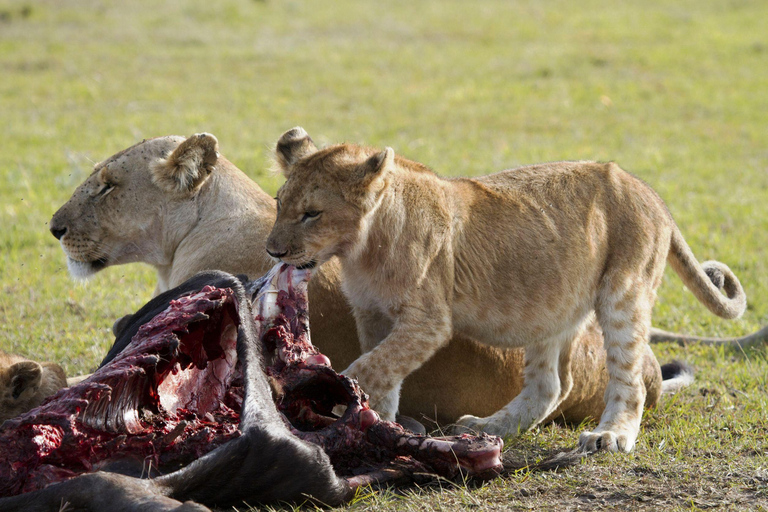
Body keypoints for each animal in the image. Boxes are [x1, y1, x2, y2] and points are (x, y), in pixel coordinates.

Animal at [268, 128, 748, 452]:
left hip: (623, 292)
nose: (273, 250)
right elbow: (385, 373)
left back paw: (611, 435)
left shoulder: (428, 321)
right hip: (552, 305)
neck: (361, 249)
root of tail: (651, 194)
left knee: (630, 381)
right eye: (279, 202)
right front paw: (380, 427)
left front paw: (339, 398)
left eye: (311, 213)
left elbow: (369, 367)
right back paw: (488, 427)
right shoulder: (372, 314)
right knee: (552, 384)